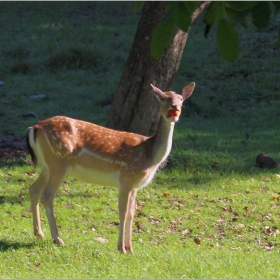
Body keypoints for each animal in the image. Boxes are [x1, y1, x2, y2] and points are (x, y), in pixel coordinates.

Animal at [25, 81, 195, 254]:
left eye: (181, 99)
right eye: (162, 98)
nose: (174, 107)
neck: (150, 155)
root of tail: (34, 127)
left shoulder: (135, 185)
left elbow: (132, 213)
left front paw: (130, 248)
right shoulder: (126, 178)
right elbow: (123, 212)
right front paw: (121, 248)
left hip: (47, 166)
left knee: (33, 189)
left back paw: (39, 233)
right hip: (58, 163)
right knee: (47, 195)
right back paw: (58, 239)